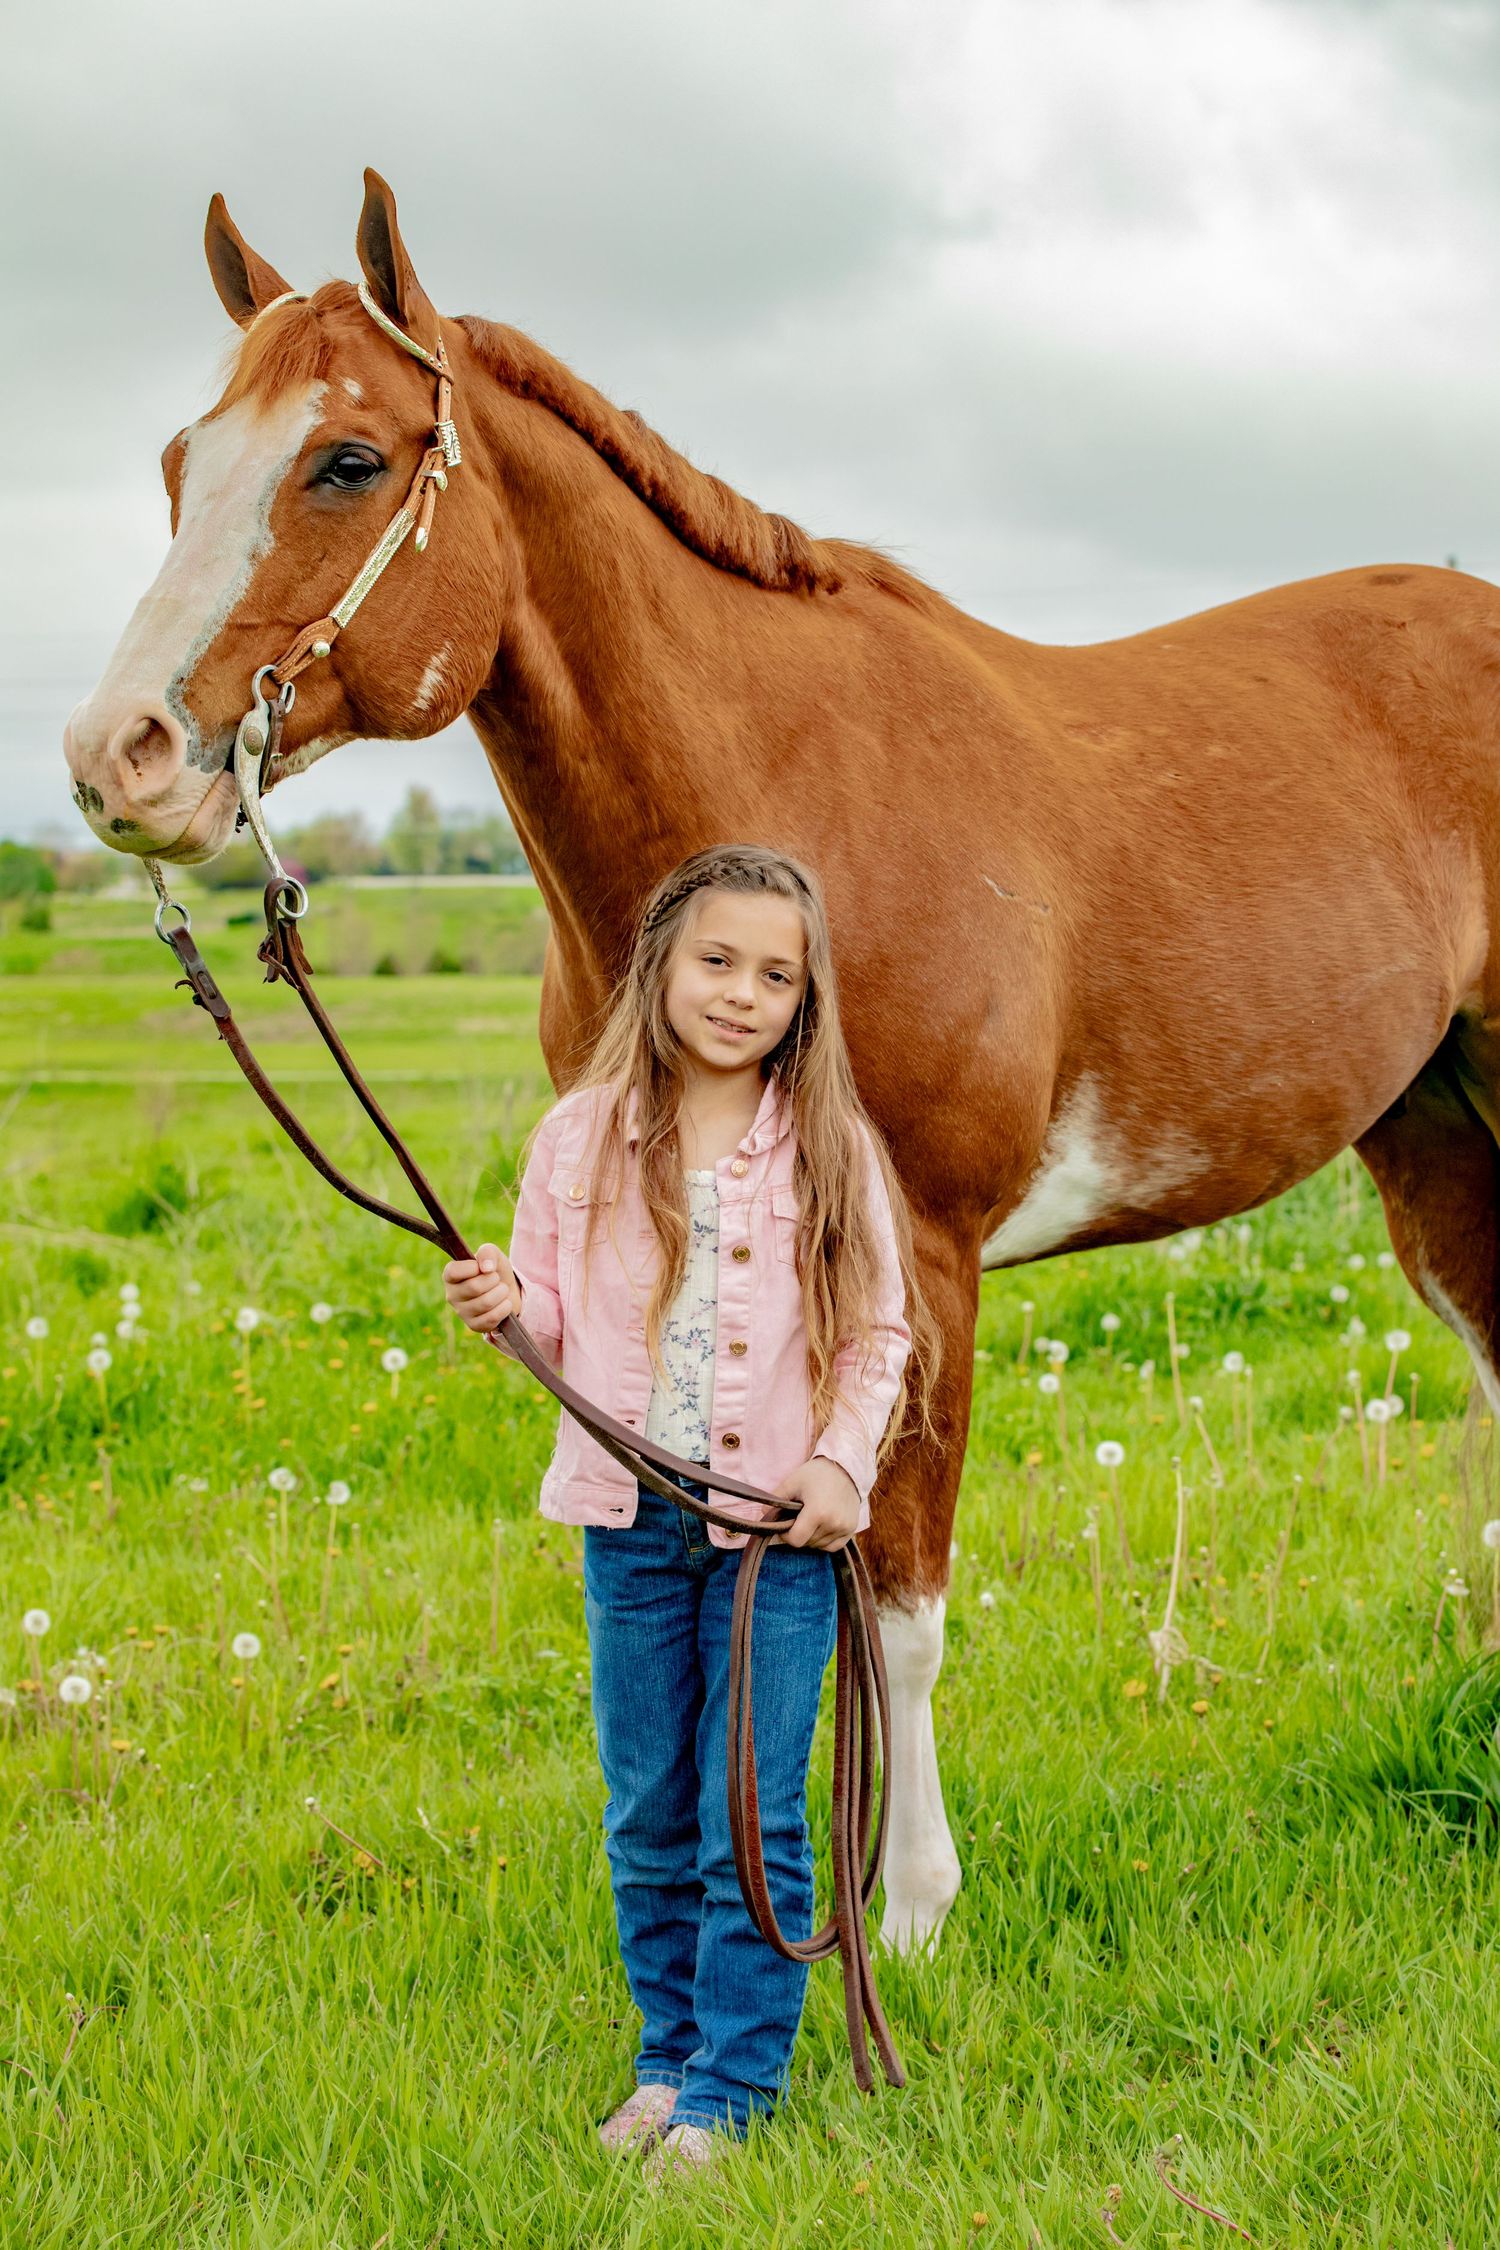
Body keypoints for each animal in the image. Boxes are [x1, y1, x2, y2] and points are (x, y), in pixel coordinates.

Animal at [64, 171, 1500, 1950]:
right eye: (180, 461)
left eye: (346, 460)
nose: (115, 759)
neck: (781, 811)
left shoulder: (919, 1261)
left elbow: (896, 1596)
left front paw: (908, 1914)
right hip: (1434, 1123)